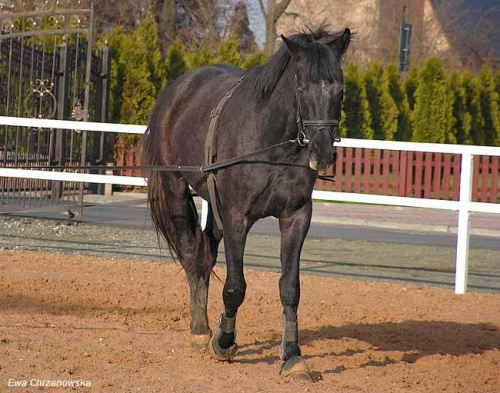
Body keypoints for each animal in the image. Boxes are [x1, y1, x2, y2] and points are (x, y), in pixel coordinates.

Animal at [142, 26, 352, 376]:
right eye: (301, 85)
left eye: (339, 86)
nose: (322, 154)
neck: (272, 145)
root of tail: (177, 89)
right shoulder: (237, 218)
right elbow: (235, 286)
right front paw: (224, 343)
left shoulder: (296, 216)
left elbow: (290, 287)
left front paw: (292, 355)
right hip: (175, 191)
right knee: (191, 253)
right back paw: (200, 331)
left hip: (214, 208)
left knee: (205, 254)